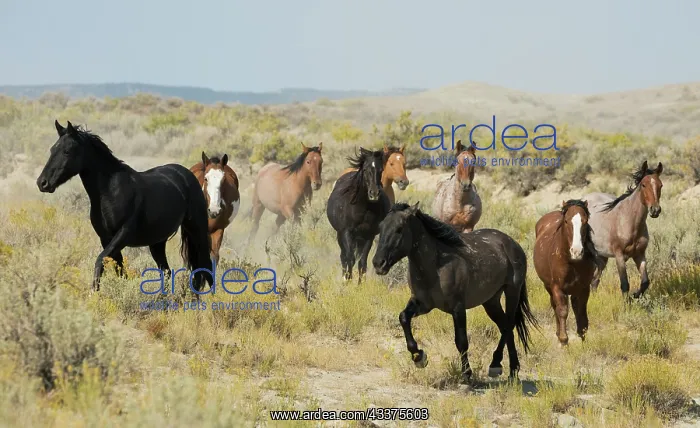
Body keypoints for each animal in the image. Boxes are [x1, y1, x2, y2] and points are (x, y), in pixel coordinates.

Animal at [36, 120, 214, 292]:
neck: (109, 192)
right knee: (167, 272)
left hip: (197, 232)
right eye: (52, 150)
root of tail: (188, 174)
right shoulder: (106, 239)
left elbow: (100, 260)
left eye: (67, 151)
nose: (42, 183)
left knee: (206, 267)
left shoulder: (123, 234)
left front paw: (94, 293)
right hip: (157, 242)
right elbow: (119, 270)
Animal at [326, 147, 390, 283]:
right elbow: (350, 259)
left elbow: (362, 262)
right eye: (365, 169)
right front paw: (348, 281)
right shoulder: (346, 232)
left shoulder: (368, 235)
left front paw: (361, 285)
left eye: (381, 170)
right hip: (340, 235)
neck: (363, 209)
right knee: (344, 256)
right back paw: (344, 279)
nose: (374, 193)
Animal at [372, 202, 538, 381]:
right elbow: (403, 318)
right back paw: (512, 370)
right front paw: (419, 357)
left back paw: (496, 365)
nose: (378, 263)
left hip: (512, 291)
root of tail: (512, 244)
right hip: (491, 301)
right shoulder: (422, 304)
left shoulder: (458, 307)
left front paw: (466, 373)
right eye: (380, 226)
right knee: (505, 326)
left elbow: (461, 341)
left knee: (509, 325)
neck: (437, 266)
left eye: (399, 228)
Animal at [534, 199, 597, 347]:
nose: (576, 251)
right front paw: (564, 340)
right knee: (555, 306)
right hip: (548, 287)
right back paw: (558, 334)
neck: (572, 262)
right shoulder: (558, 288)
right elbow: (562, 311)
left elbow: (581, 312)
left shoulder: (583, 288)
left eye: (585, 221)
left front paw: (582, 338)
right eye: (567, 221)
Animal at [582, 161, 663, 300]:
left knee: (594, 281)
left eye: (660, 185)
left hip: (601, 257)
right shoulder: (619, 256)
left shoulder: (640, 254)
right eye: (643, 185)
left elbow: (645, 282)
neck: (629, 221)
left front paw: (635, 295)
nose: (655, 210)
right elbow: (625, 285)